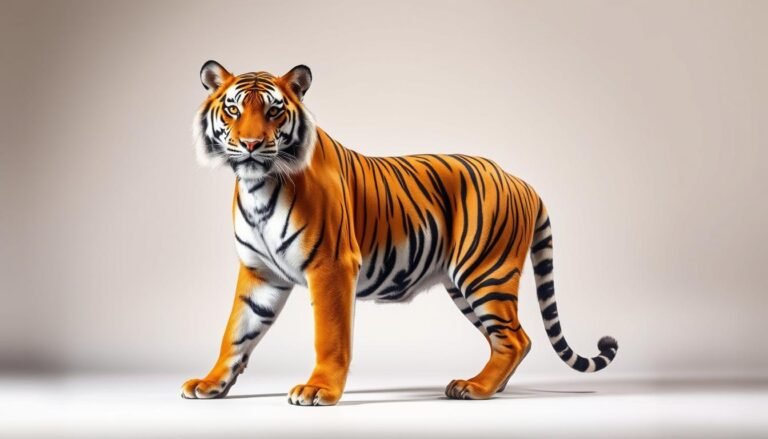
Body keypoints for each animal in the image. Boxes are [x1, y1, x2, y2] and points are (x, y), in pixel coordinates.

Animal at [181, 61, 619, 406]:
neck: (258, 186)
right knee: (513, 339)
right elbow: (236, 331)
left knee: (513, 338)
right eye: (233, 109)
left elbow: (330, 335)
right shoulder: (260, 272)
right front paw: (211, 383)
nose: (251, 144)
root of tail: (519, 179)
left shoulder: (331, 266)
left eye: (274, 111)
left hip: (485, 273)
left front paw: (319, 390)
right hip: (464, 285)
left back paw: (475, 389)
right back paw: (487, 387)